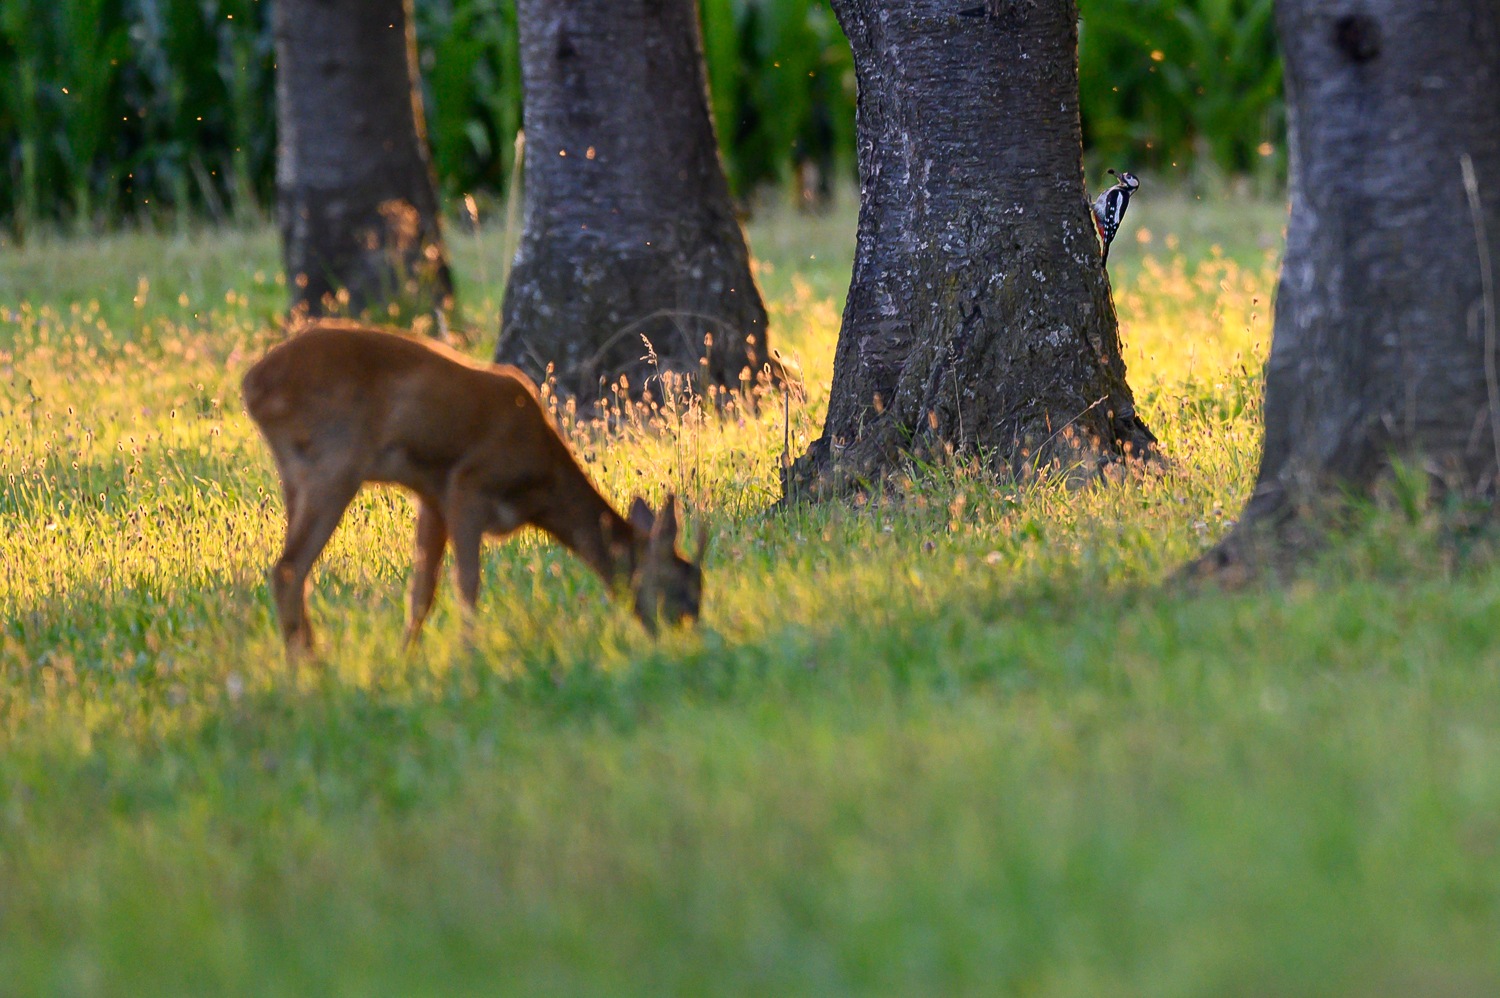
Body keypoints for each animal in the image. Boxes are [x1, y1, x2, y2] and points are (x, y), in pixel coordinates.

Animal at [240, 319, 708, 657]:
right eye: (680, 584)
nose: (687, 634)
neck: (540, 483)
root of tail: (252, 384)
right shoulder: (469, 485)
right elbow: (467, 584)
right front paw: (470, 659)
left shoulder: (433, 498)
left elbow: (422, 592)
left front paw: (406, 662)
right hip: (334, 462)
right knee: (288, 569)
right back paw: (312, 671)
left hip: (297, 475)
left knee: (290, 568)